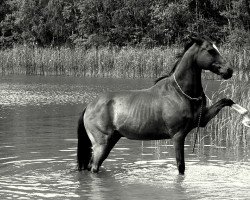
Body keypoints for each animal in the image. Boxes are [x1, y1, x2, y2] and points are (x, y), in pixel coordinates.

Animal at [76, 36, 234, 174]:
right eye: (210, 50)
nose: (229, 70)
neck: (179, 92)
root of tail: (89, 106)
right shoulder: (178, 136)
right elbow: (180, 166)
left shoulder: (202, 120)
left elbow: (223, 102)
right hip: (101, 144)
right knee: (94, 167)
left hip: (111, 140)